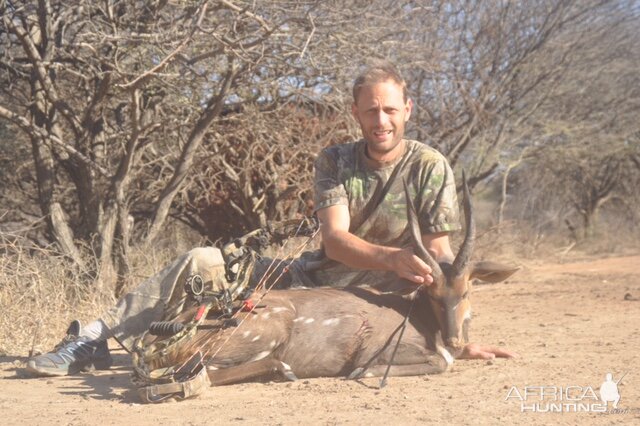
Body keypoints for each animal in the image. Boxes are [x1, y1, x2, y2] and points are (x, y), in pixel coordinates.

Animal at [142, 176, 516, 386]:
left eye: (466, 291)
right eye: (433, 292)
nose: (455, 340)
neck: (422, 319)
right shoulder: (376, 348)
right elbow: (439, 363)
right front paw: (362, 373)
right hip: (261, 333)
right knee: (202, 371)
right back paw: (285, 370)